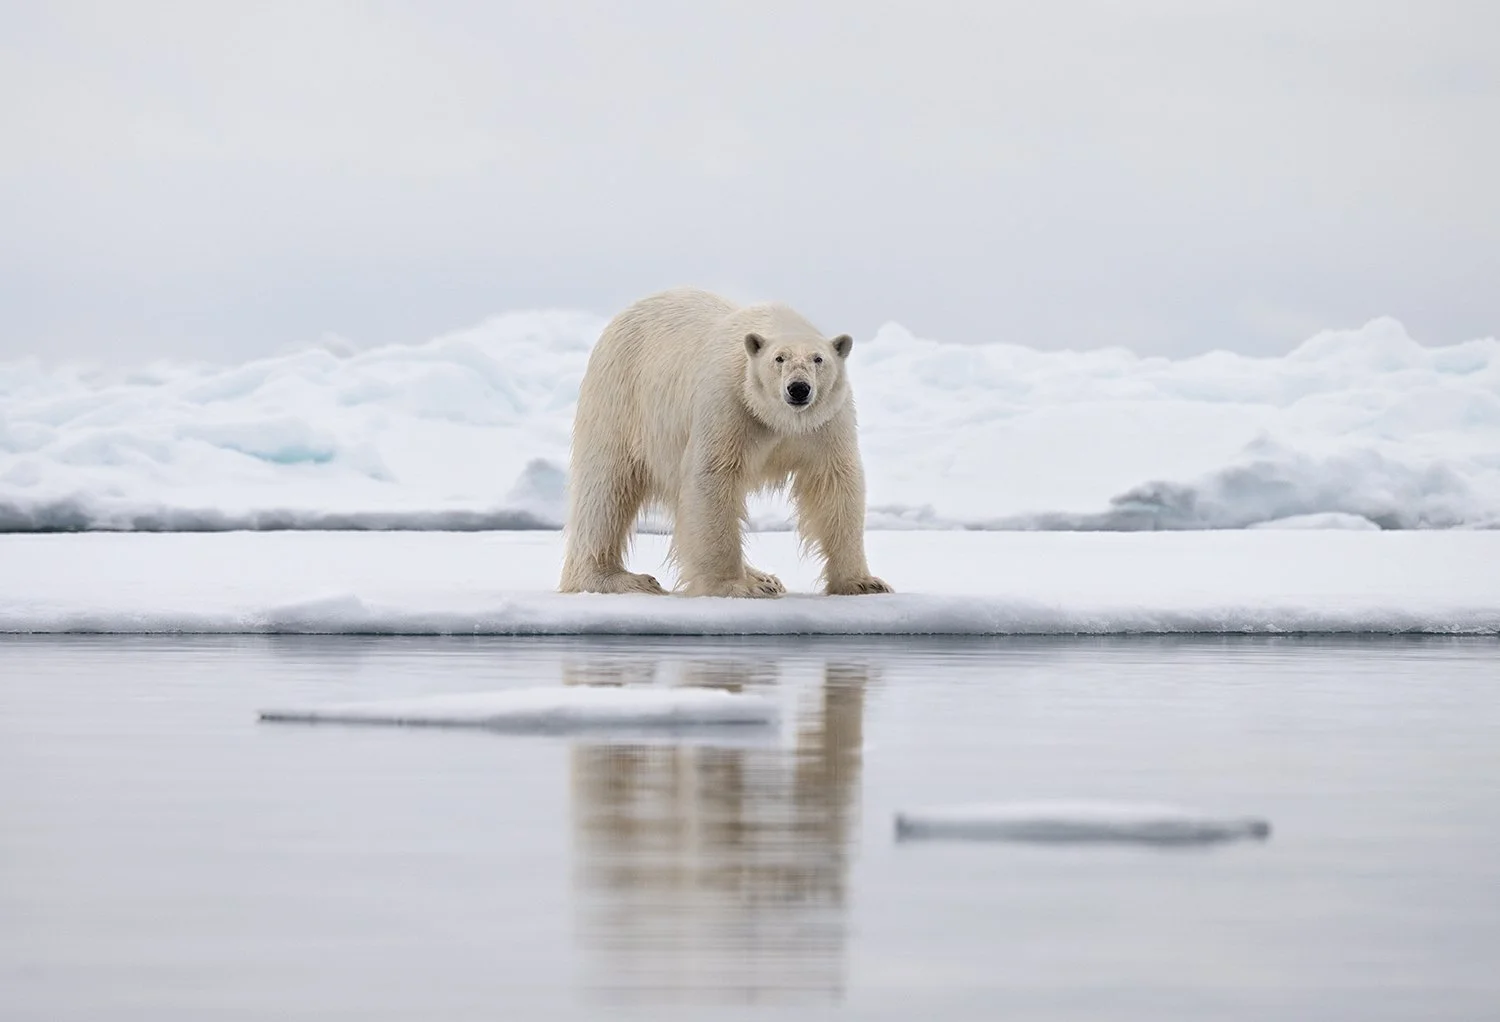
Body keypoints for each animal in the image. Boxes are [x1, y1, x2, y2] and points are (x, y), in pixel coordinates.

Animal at [558, 287, 892, 598]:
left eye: (818, 359)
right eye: (779, 358)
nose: (798, 388)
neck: (779, 419)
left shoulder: (825, 423)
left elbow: (835, 482)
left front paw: (864, 583)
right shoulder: (729, 402)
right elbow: (713, 478)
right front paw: (736, 586)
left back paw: (765, 577)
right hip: (620, 397)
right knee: (606, 487)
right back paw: (620, 578)